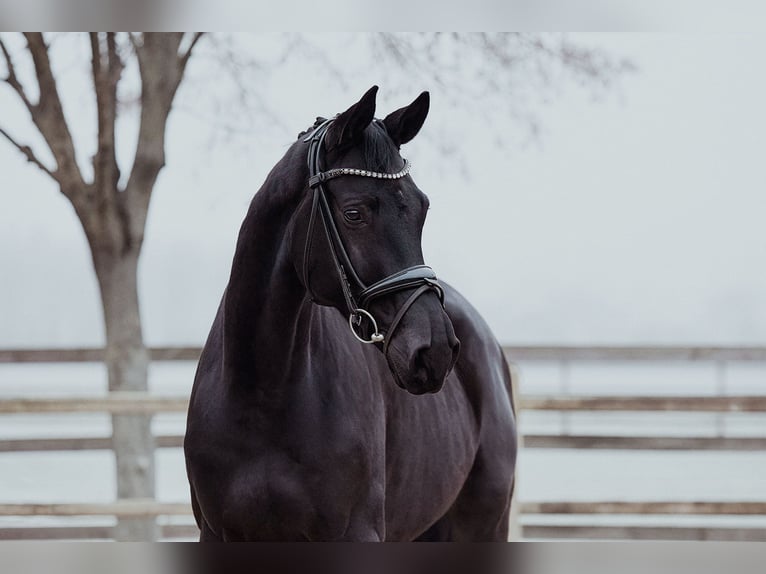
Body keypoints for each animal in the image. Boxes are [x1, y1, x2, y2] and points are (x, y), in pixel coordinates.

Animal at [184, 86, 517, 541]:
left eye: (422, 209)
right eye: (354, 213)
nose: (435, 350)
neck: (260, 393)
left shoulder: (355, 532)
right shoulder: (218, 533)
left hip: (483, 525)